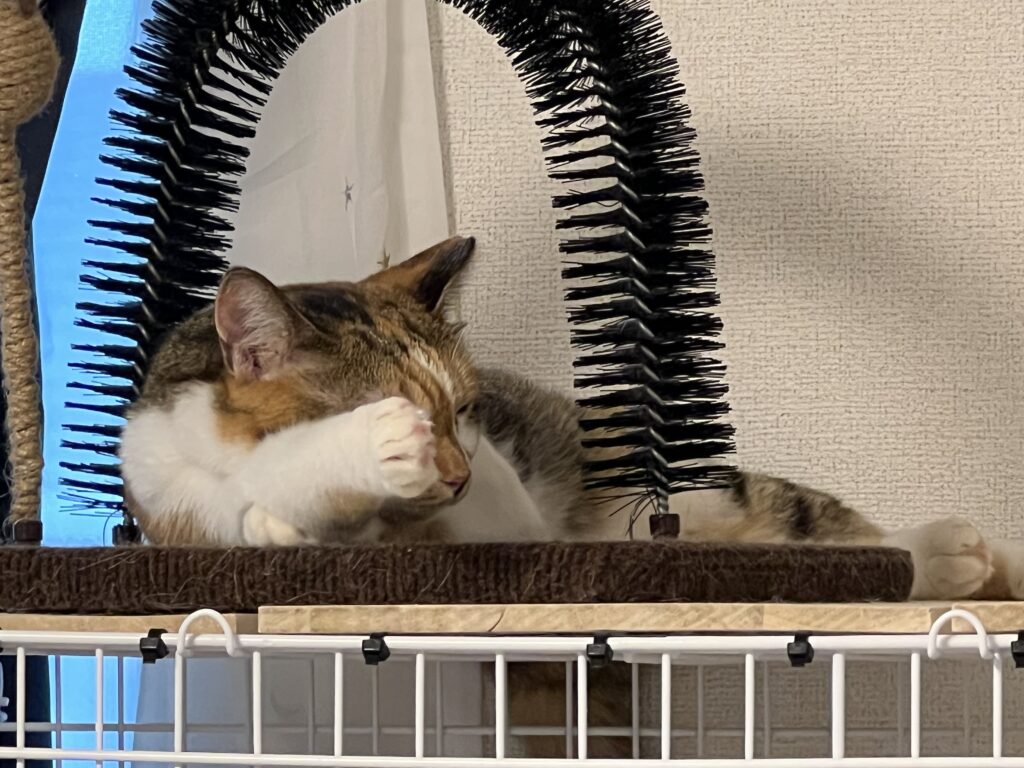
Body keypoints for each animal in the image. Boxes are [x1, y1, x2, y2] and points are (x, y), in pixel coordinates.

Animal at [119, 235, 1024, 603]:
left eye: (465, 412)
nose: (456, 475)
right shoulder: (171, 504)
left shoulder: (499, 508)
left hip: (682, 492)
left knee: (822, 533)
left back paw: (948, 556)